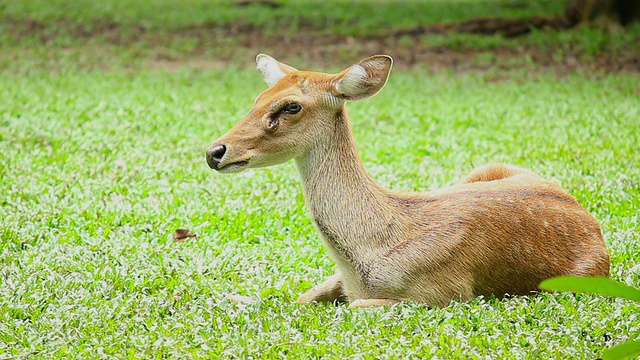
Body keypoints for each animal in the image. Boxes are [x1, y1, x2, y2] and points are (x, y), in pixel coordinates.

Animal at [205, 54, 608, 308]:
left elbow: (350, 308)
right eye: (258, 97)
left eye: (291, 106)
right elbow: (298, 297)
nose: (215, 151)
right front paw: (234, 296)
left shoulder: (444, 293)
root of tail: (591, 221)